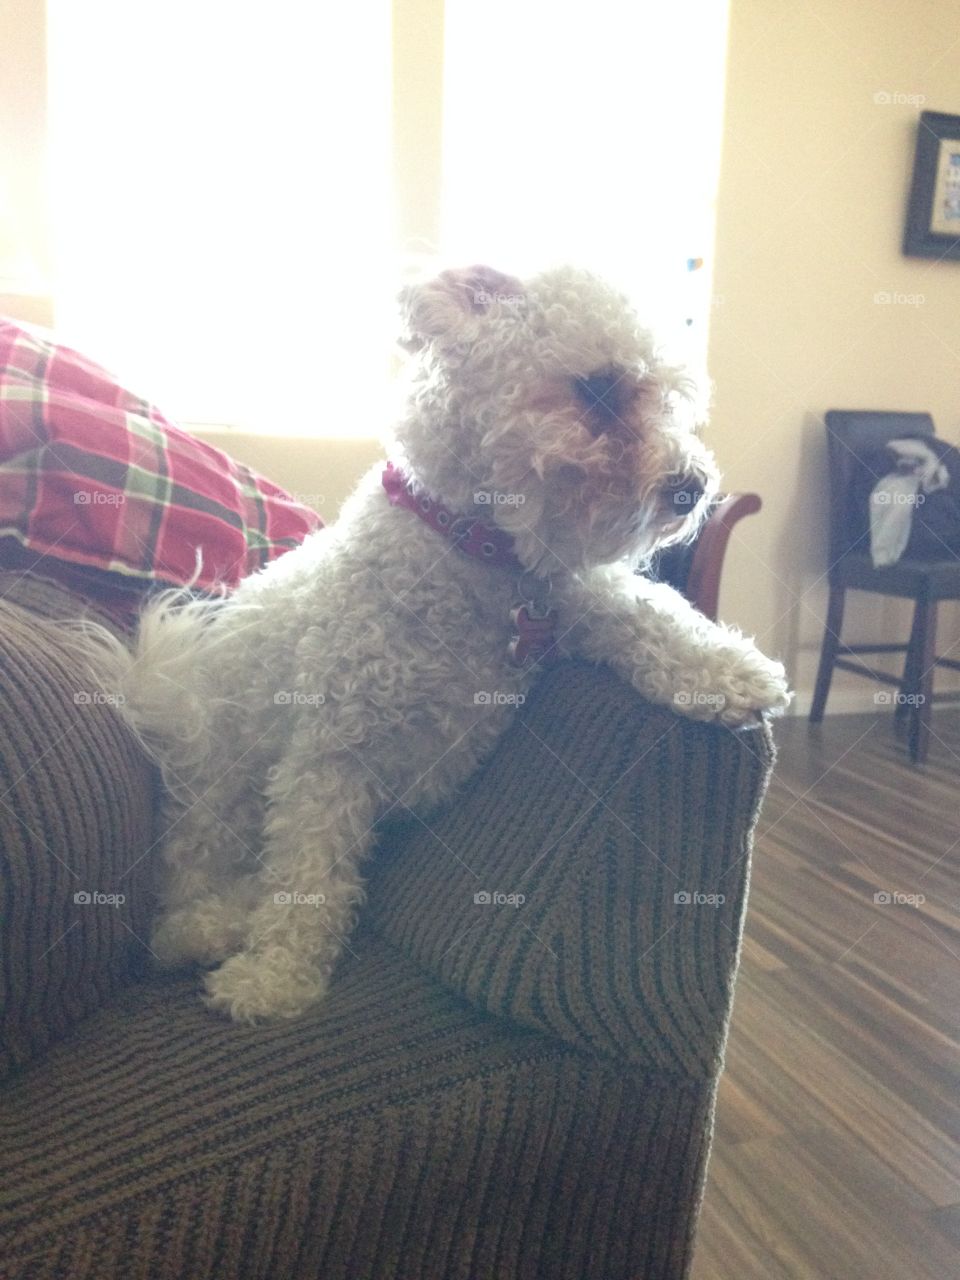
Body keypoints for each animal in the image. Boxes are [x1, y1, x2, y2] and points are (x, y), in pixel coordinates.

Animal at [90, 267, 793, 1018]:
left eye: (667, 395)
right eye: (599, 388)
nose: (694, 488)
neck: (472, 550)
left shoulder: (570, 595)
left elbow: (645, 607)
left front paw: (726, 671)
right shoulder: (329, 758)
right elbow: (309, 876)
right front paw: (275, 978)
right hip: (219, 787)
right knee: (195, 882)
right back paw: (204, 928)